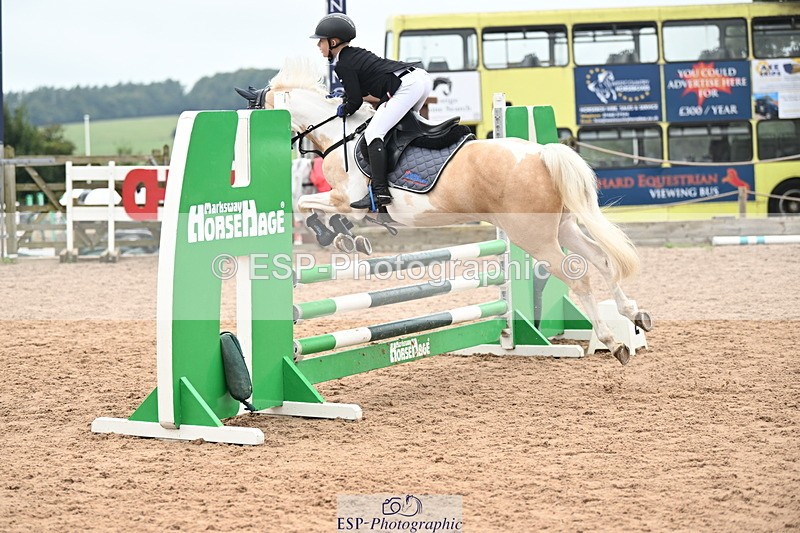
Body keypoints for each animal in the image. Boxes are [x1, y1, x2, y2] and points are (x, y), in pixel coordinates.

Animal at [261, 58, 652, 365]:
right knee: (602, 261)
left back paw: (613, 342)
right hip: (562, 227)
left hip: (534, 237)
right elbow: (318, 211)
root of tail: (541, 154)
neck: (338, 133)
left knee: (578, 275)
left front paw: (334, 235)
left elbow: (306, 206)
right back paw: (634, 315)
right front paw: (346, 239)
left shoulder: (348, 200)